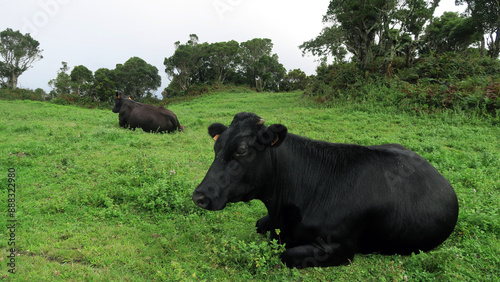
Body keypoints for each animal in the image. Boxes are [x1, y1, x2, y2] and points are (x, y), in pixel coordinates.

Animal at [193, 112, 458, 268]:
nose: (200, 195)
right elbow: (260, 225)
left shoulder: (341, 247)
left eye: (242, 150)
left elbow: (286, 255)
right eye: (216, 146)